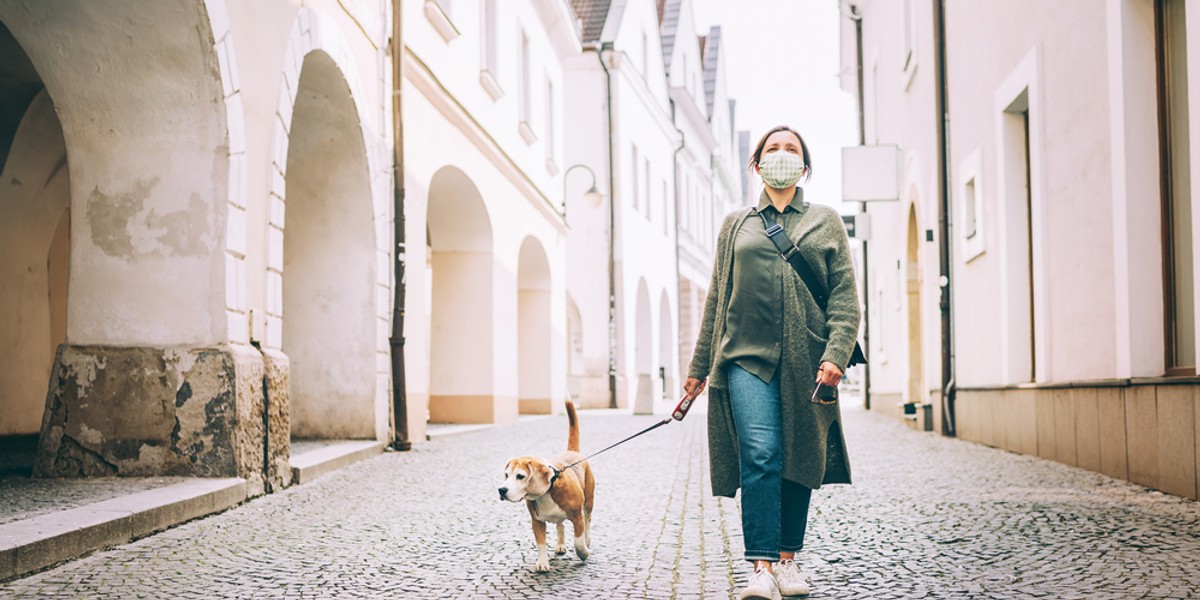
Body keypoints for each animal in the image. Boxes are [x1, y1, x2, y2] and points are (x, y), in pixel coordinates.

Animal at [499, 398, 592, 571]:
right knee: (560, 525)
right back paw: (561, 544)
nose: (501, 490)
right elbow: (541, 544)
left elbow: (578, 541)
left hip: (589, 502)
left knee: (588, 521)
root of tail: (572, 451)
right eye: (507, 475)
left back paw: (587, 541)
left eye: (520, 476)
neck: (548, 492)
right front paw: (542, 563)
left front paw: (583, 553)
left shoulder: (578, 517)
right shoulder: (537, 522)